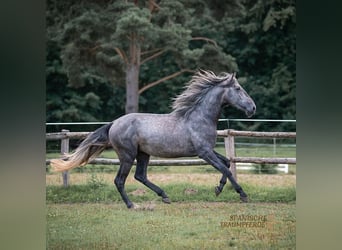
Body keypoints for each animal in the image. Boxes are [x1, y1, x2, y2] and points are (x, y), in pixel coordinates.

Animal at [49, 69, 255, 208]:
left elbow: (226, 163)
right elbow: (226, 169)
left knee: (140, 176)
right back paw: (132, 205)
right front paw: (242, 194)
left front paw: (218, 189)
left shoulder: (208, 151)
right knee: (120, 180)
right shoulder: (204, 152)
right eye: (238, 88)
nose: (252, 108)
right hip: (127, 155)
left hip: (143, 154)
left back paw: (164, 196)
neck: (199, 117)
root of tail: (114, 123)